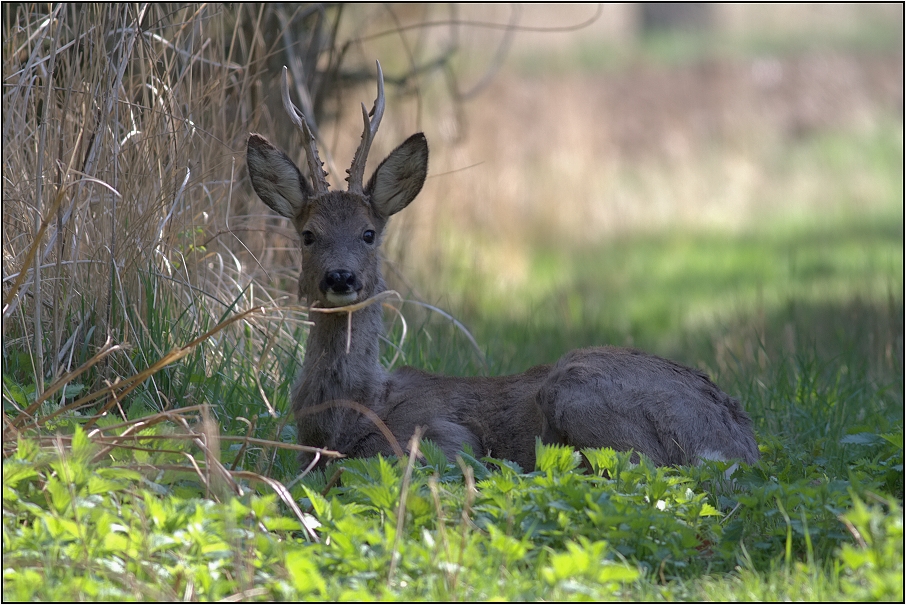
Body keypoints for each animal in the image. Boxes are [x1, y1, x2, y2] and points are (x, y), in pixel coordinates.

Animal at [245, 62, 756, 472]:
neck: (344, 419)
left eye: (369, 233)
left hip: (575, 389)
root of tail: (739, 442)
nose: (341, 277)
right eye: (308, 235)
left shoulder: (443, 438)